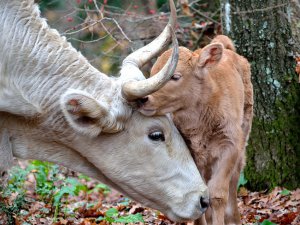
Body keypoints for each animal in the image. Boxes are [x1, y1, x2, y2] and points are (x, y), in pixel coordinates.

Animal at [138, 35, 253, 225]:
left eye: (175, 76)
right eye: (153, 73)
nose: (142, 98)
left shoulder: (230, 145)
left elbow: (218, 194)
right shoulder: (190, 150)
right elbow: (199, 192)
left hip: (244, 132)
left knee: (235, 176)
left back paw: (234, 218)